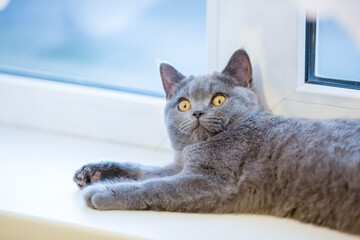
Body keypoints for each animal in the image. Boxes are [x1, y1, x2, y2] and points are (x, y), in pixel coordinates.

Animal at [73, 48, 360, 234]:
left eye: (219, 99)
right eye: (183, 104)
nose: (198, 112)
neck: (193, 149)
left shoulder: (212, 180)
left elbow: (154, 186)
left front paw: (101, 191)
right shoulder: (179, 166)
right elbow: (143, 170)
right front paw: (93, 173)